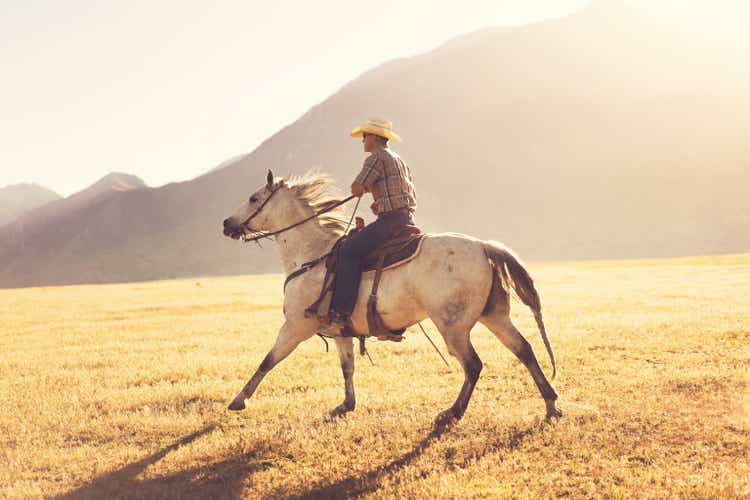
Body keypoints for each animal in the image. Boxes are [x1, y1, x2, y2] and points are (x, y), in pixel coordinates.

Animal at [220, 169, 560, 426]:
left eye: (253, 198)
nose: (226, 223)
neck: (312, 255)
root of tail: (483, 246)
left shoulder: (294, 327)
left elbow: (268, 360)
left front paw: (238, 400)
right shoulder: (341, 331)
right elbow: (347, 367)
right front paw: (347, 404)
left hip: (453, 327)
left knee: (473, 365)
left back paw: (452, 412)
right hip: (494, 316)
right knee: (524, 349)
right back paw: (551, 404)